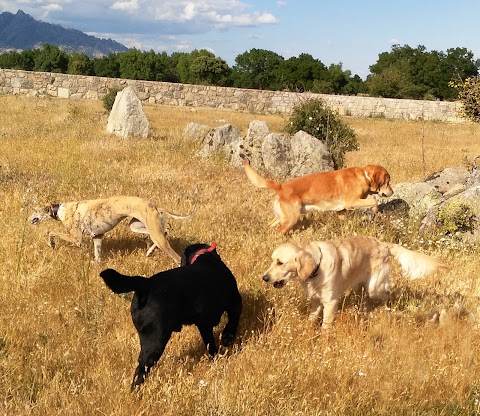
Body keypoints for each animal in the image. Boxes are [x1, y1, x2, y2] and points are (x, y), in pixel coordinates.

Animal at [27, 196, 193, 264]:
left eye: (35, 210)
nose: (28, 219)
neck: (61, 210)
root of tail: (156, 206)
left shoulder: (76, 238)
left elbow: (51, 232)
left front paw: (51, 244)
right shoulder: (98, 237)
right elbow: (97, 256)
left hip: (153, 232)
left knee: (175, 255)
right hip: (137, 226)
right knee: (164, 232)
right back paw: (150, 252)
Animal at [101, 242, 244, 388]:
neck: (204, 257)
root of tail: (146, 284)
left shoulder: (204, 324)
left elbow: (209, 342)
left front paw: (214, 356)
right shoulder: (235, 301)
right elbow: (233, 320)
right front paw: (227, 338)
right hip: (156, 338)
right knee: (142, 367)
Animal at [262, 237, 450, 328]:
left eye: (280, 262)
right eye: (272, 260)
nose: (265, 278)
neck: (317, 267)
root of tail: (383, 244)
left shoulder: (330, 302)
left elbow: (325, 326)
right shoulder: (315, 301)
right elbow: (311, 319)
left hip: (375, 286)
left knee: (388, 293)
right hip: (360, 286)